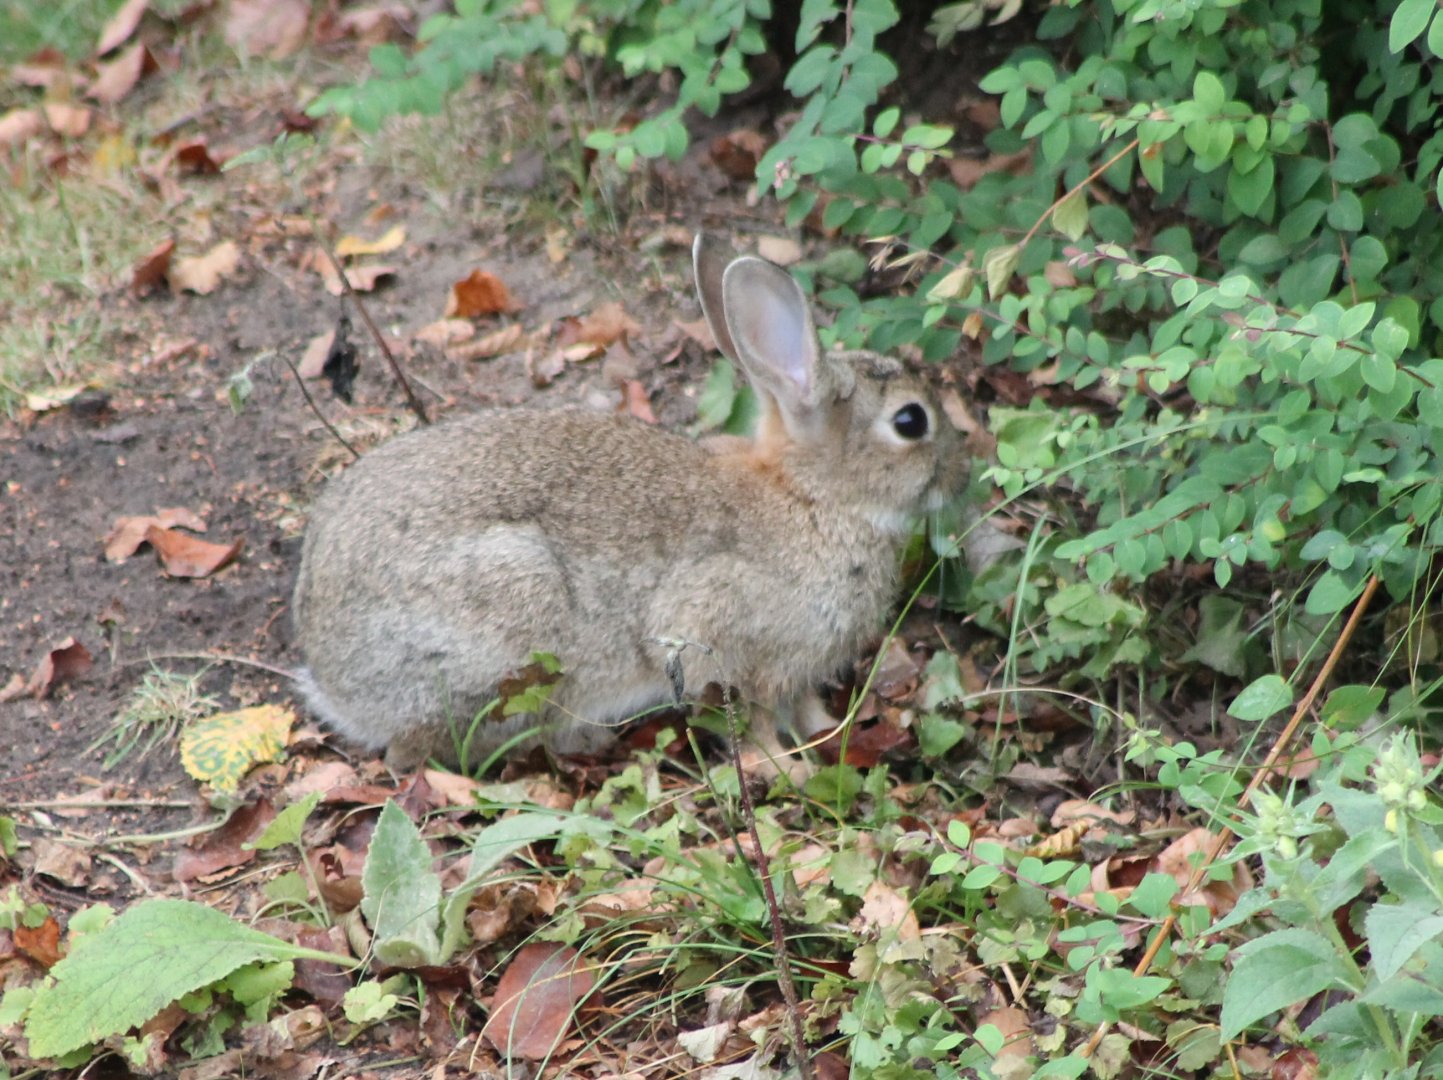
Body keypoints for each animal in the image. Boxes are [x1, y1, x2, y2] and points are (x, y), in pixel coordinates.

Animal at [291, 234, 970, 777]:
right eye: (910, 422)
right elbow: (750, 721)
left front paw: (826, 733)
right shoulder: (716, 638)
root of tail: (331, 675)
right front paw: (789, 770)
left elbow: (799, 706)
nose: (960, 471)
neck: (811, 496)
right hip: (510, 615)